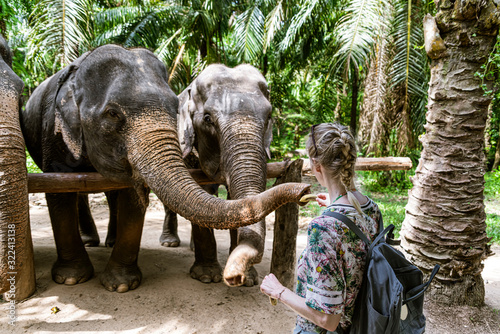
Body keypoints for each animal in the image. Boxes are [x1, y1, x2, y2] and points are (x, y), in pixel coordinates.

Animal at [19, 44, 308, 292]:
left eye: (269, 117)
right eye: (208, 119)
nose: (305, 191)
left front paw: (247, 279)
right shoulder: (53, 134)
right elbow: (60, 192)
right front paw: (76, 280)